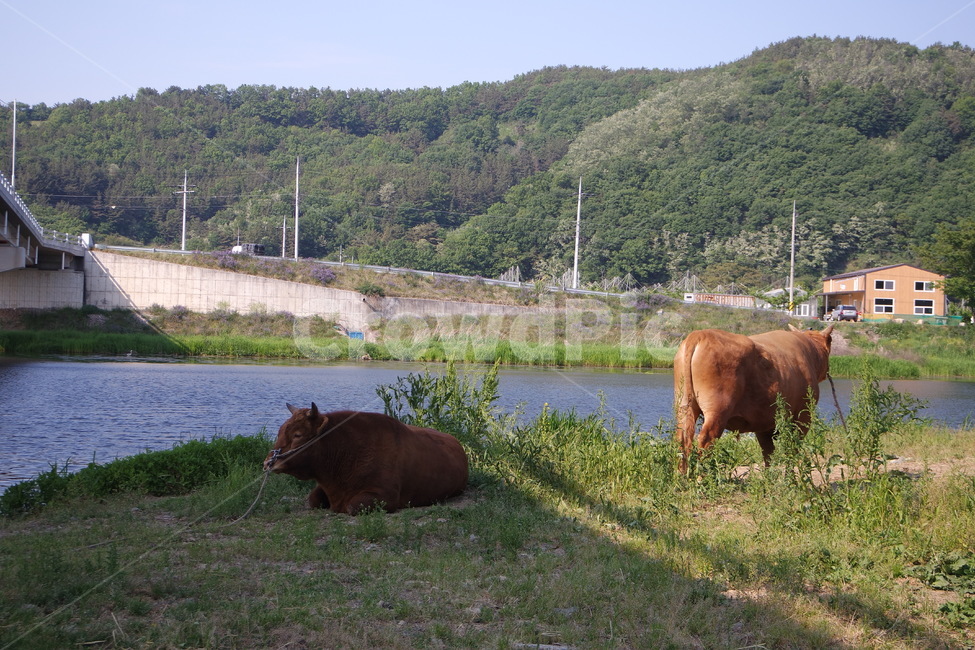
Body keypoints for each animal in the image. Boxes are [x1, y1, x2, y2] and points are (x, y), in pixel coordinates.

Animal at [264, 403, 469, 514]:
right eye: (279, 431)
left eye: (298, 435)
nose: (268, 462)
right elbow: (312, 499)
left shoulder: (385, 497)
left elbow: (353, 506)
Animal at [673, 324, 834, 472]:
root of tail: (699, 334)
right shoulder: (802, 417)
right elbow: (791, 449)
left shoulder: (764, 422)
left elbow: (768, 453)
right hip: (718, 411)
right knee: (706, 441)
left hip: (684, 405)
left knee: (683, 438)